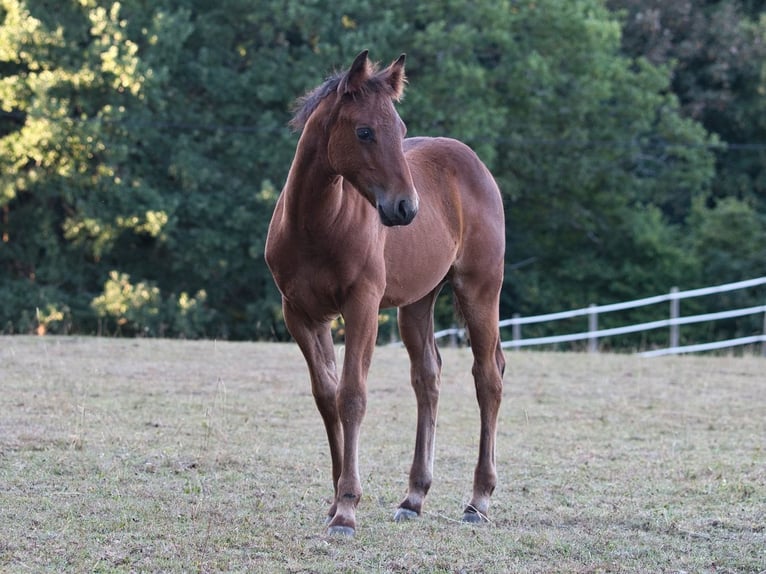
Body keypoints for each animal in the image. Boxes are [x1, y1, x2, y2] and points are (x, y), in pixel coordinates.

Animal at [265, 50, 506, 536]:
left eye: (401, 128)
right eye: (364, 131)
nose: (406, 207)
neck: (315, 224)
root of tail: (475, 164)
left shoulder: (362, 305)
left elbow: (352, 396)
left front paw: (346, 509)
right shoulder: (300, 314)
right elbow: (326, 396)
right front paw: (335, 498)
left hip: (480, 289)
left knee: (488, 378)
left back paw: (478, 501)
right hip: (417, 303)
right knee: (428, 378)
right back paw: (414, 497)